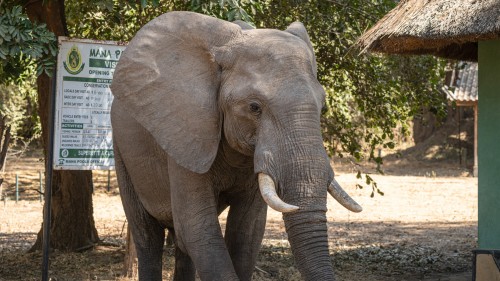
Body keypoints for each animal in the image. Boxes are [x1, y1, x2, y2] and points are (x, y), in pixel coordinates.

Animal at [109, 10, 362, 280]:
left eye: (322, 106)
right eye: (254, 107)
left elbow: (247, 232)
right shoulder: (187, 132)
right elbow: (199, 230)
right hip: (122, 151)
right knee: (148, 236)